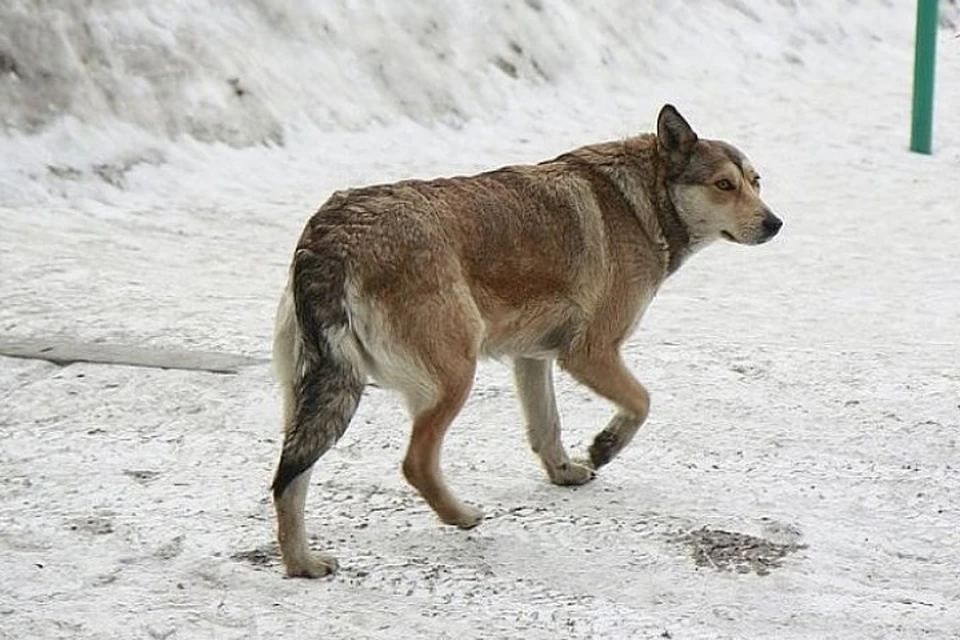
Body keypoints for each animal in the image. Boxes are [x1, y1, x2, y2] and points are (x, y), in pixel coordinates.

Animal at [268, 104, 780, 576]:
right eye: (724, 185)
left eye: (756, 182)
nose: (776, 224)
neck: (642, 202)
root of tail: (333, 236)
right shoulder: (590, 354)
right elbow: (642, 401)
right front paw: (605, 446)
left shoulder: (533, 358)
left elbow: (547, 428)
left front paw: (565, 473)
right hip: (453, 377)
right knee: (414, 463)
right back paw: (461, 516)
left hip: (315, 398)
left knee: (288, 481)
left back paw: (302, 564)